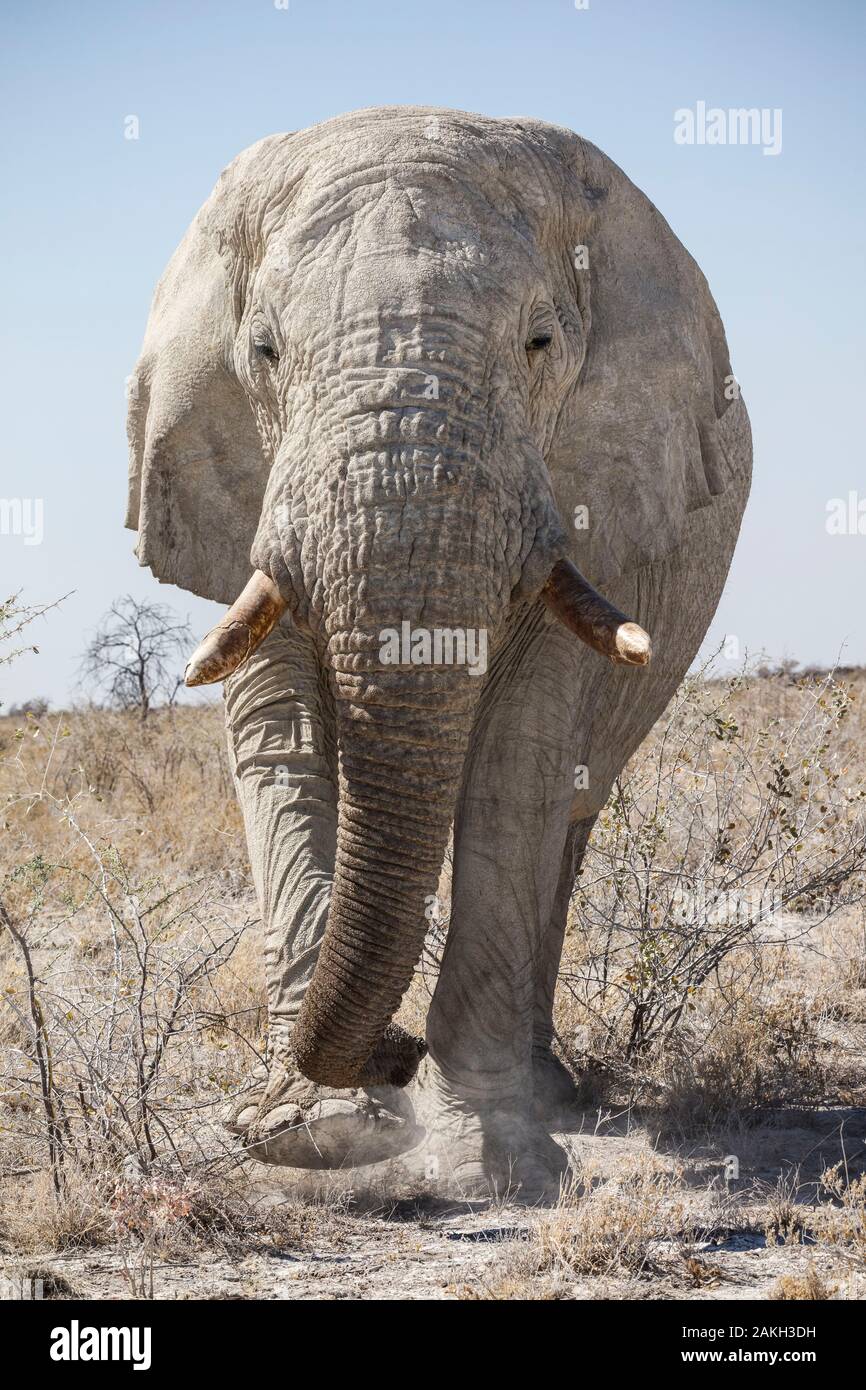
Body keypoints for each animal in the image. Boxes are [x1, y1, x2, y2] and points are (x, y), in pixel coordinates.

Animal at [127, 102, 750, 1200]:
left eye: (540, 341)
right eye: (264, 350)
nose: (396, 1051)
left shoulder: (589, 485)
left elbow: (517, 761)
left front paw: (494, 1163)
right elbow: (281, 743)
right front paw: (314, 1134)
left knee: (568, 817)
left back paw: (550, 1092)